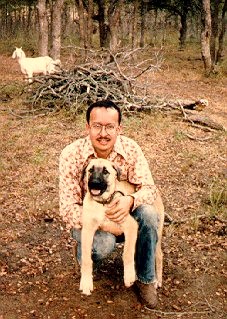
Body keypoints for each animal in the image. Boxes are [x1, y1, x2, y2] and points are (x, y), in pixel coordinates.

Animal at [79, 159, 164, 296]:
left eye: (105, 171)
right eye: (90, 170)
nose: (95, 183)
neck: (103, 203)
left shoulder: (131, 226)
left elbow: (127, 253)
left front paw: (129, 276)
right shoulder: (87, 230)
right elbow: (86, 258)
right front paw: (86, 282)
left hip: (157, 233)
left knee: (159, 255)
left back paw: (156, 281)